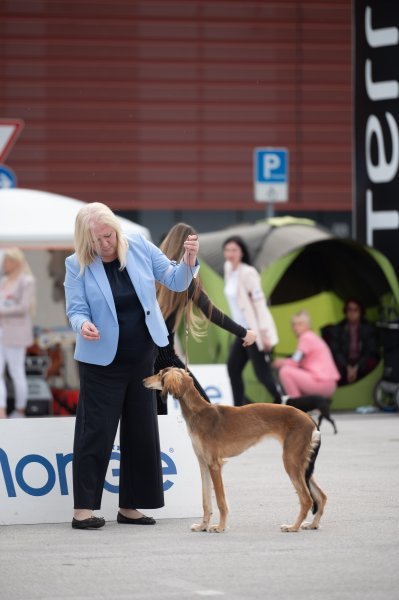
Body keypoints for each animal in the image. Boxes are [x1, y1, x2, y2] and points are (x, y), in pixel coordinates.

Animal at [145, 368, 328, 532]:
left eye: (160, 373)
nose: (143, 381)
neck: (199, 412)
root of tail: (310, 419)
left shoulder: (214, 465)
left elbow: (220, 501)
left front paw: (220, 527)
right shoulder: (203, 464)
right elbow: (206, 500)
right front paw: (202, 526)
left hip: (291, 461)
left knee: (306, 499)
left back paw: (293, 527)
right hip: (301, 464)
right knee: (321, 496)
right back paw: (312, 524)